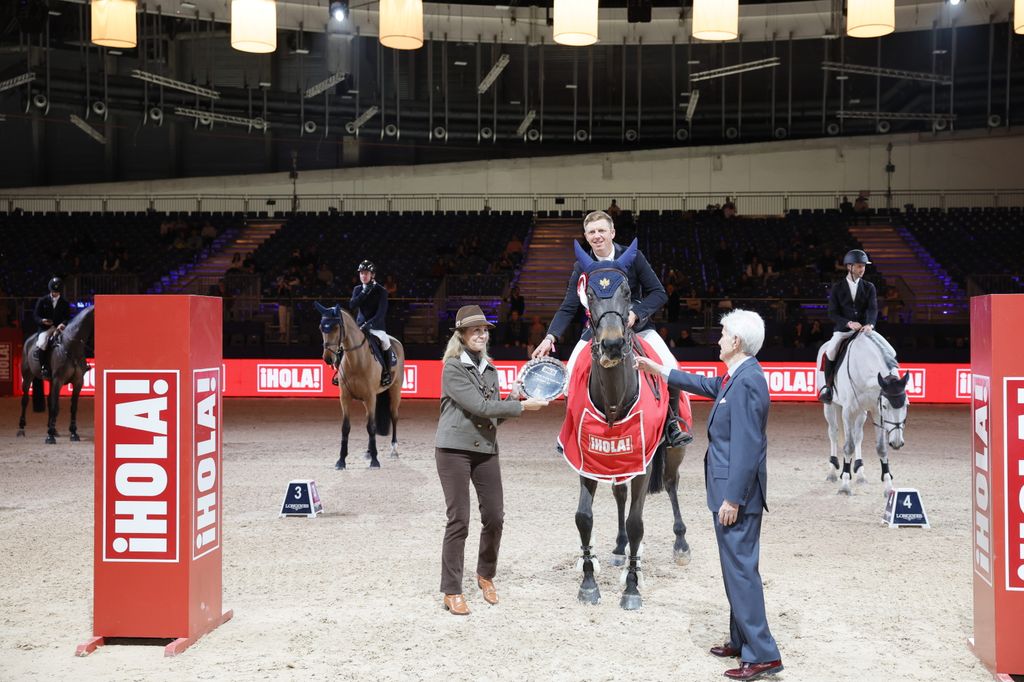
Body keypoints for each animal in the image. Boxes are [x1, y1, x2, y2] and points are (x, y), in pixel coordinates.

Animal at [18, 305, 94, 444]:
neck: (71, 346)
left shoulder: (78, 382)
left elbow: (73, 407)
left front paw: (73, 433)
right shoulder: (58, 380)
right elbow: (55, 407)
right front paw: (50, 437)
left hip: (51, 381)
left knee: (49, 400)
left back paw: (53, 429)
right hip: (27, 377)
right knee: (25, 400)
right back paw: (21, 429)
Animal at [315, 301, 403, 466]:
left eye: (336, 327)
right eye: (321, 327)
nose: (328, 359)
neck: (356, 359)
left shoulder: (370, 396)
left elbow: (372, 427)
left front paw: (375, 461)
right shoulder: (345, 397)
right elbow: (346, 427)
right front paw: (341, 461)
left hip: (395, 390)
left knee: (394, 416)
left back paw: (394, 450)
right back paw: (368, 452)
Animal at [815, 329, 913, 493]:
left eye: (906, 405)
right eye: (885, 406)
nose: (897, 443)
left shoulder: (876, 412)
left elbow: (881, 448)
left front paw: (888, 487)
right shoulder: (848, 412)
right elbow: (848, 447)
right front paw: (845, 486)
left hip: (861, 413)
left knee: (858, 436)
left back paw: (860, 473)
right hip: (830, 406)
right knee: (833, 433)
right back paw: (832, 473)